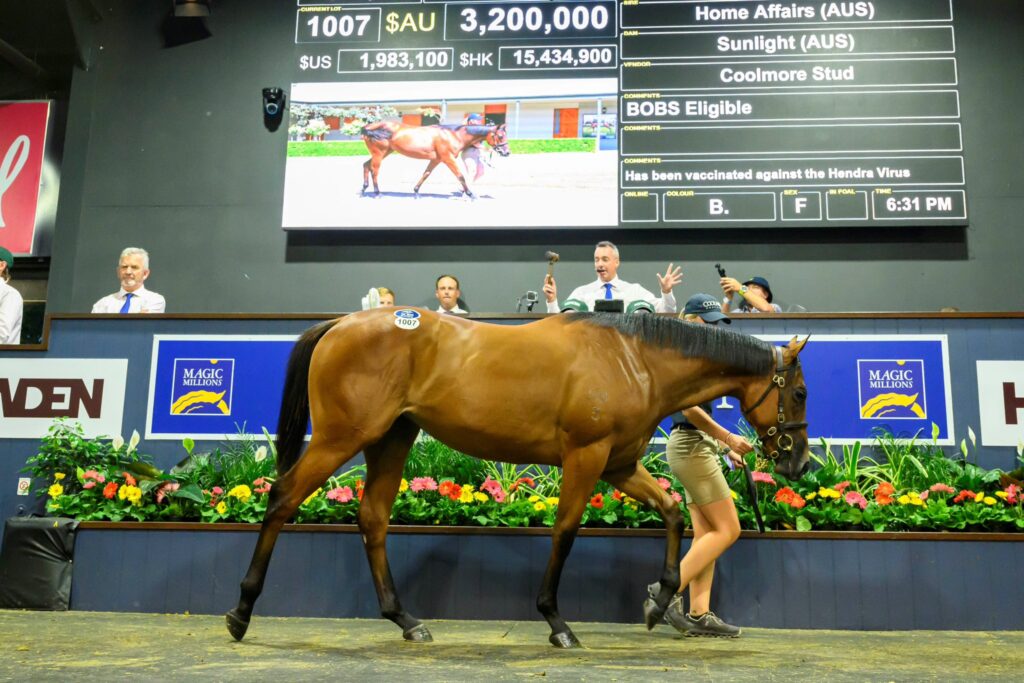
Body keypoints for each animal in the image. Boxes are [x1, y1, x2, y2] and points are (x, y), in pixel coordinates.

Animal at [226, 310, 810, 648]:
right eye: (800, 393)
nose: (799, 463)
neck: (632, 359)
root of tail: (340, 323)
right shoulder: (586, 458)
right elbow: (565, 533)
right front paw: (556, 622)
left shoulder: (618, 464)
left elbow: (670, 513)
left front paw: (659, 601)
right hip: (340, 438)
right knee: (282, 499)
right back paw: (240, 613)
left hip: (391, 439)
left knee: (372, 520)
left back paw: (406, 619)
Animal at [360, 121, 510, 199]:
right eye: (500, 136)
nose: (507, 152)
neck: (453, 135)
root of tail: (369, 127)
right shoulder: (448, 158)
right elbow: (460, 176)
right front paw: (470, 194)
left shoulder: (436, 160)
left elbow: (426, 174)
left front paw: (416, 192)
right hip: (379, 153)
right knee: (374, 171)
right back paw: (377, 193)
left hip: (385, 152)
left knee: (366, 165)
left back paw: (363, 190)